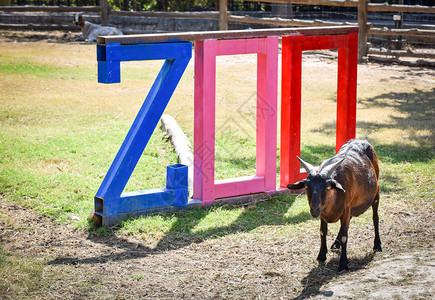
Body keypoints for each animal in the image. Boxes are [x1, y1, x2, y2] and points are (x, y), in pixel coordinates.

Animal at [288, 139, 384, 270]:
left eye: (328, 187)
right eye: (307, 186)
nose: (314, 208)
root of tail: (361, 140)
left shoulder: (345, 209)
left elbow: (344, 237)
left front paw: (343, 263)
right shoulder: (325, 214)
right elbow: (323, 232)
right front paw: (321, 255)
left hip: (376, 194)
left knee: (375, 217)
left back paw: (377, 245)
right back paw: (336, 243)